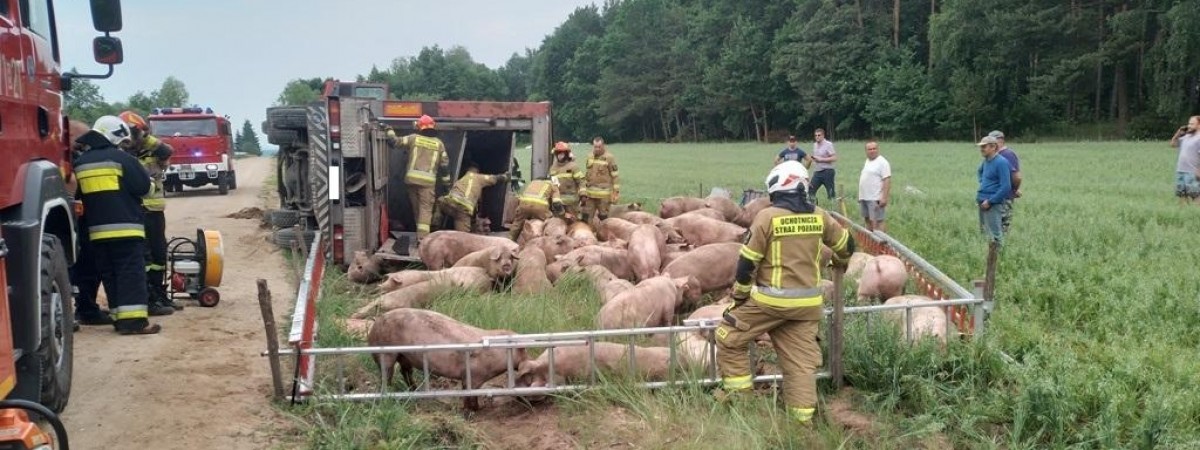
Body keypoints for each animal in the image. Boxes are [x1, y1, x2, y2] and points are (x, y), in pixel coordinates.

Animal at [367, 309, 528, 412]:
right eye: (523, 350)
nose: (528, 360)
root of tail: (373, 327)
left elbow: (467, 392)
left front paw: (472, 409)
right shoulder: (474, 375)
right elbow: (470, 393)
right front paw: (474, 410)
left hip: (404, 356)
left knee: (405, 371)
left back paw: (415, 391)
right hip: (386, 353)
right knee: (386, 374)